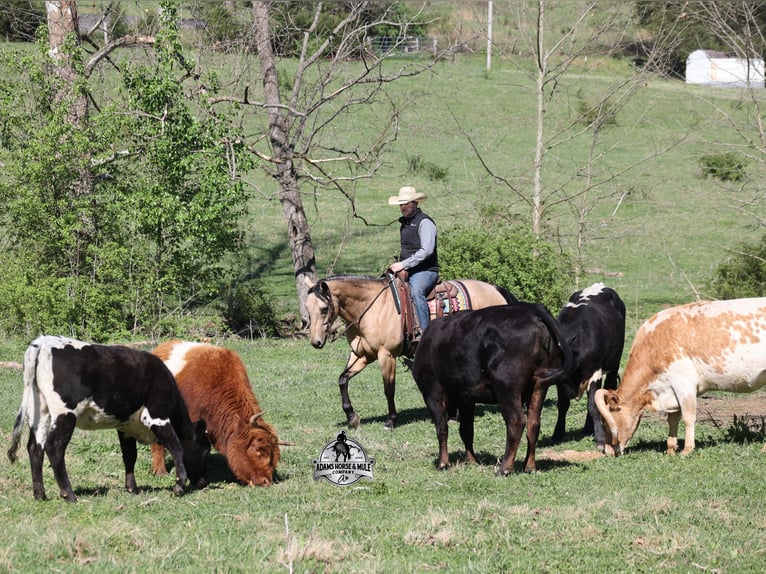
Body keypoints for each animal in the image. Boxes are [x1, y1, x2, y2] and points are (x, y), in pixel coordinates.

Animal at [305, 274, 515, 429]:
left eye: (323, 309)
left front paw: (391, 420)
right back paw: (454, 416)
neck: (371, 308)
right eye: (307, 308)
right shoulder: (362, 355)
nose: (315, 342)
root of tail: (495, 289)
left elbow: (389, 389)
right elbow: (343, 379)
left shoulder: (386, 355)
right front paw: (352, 417)